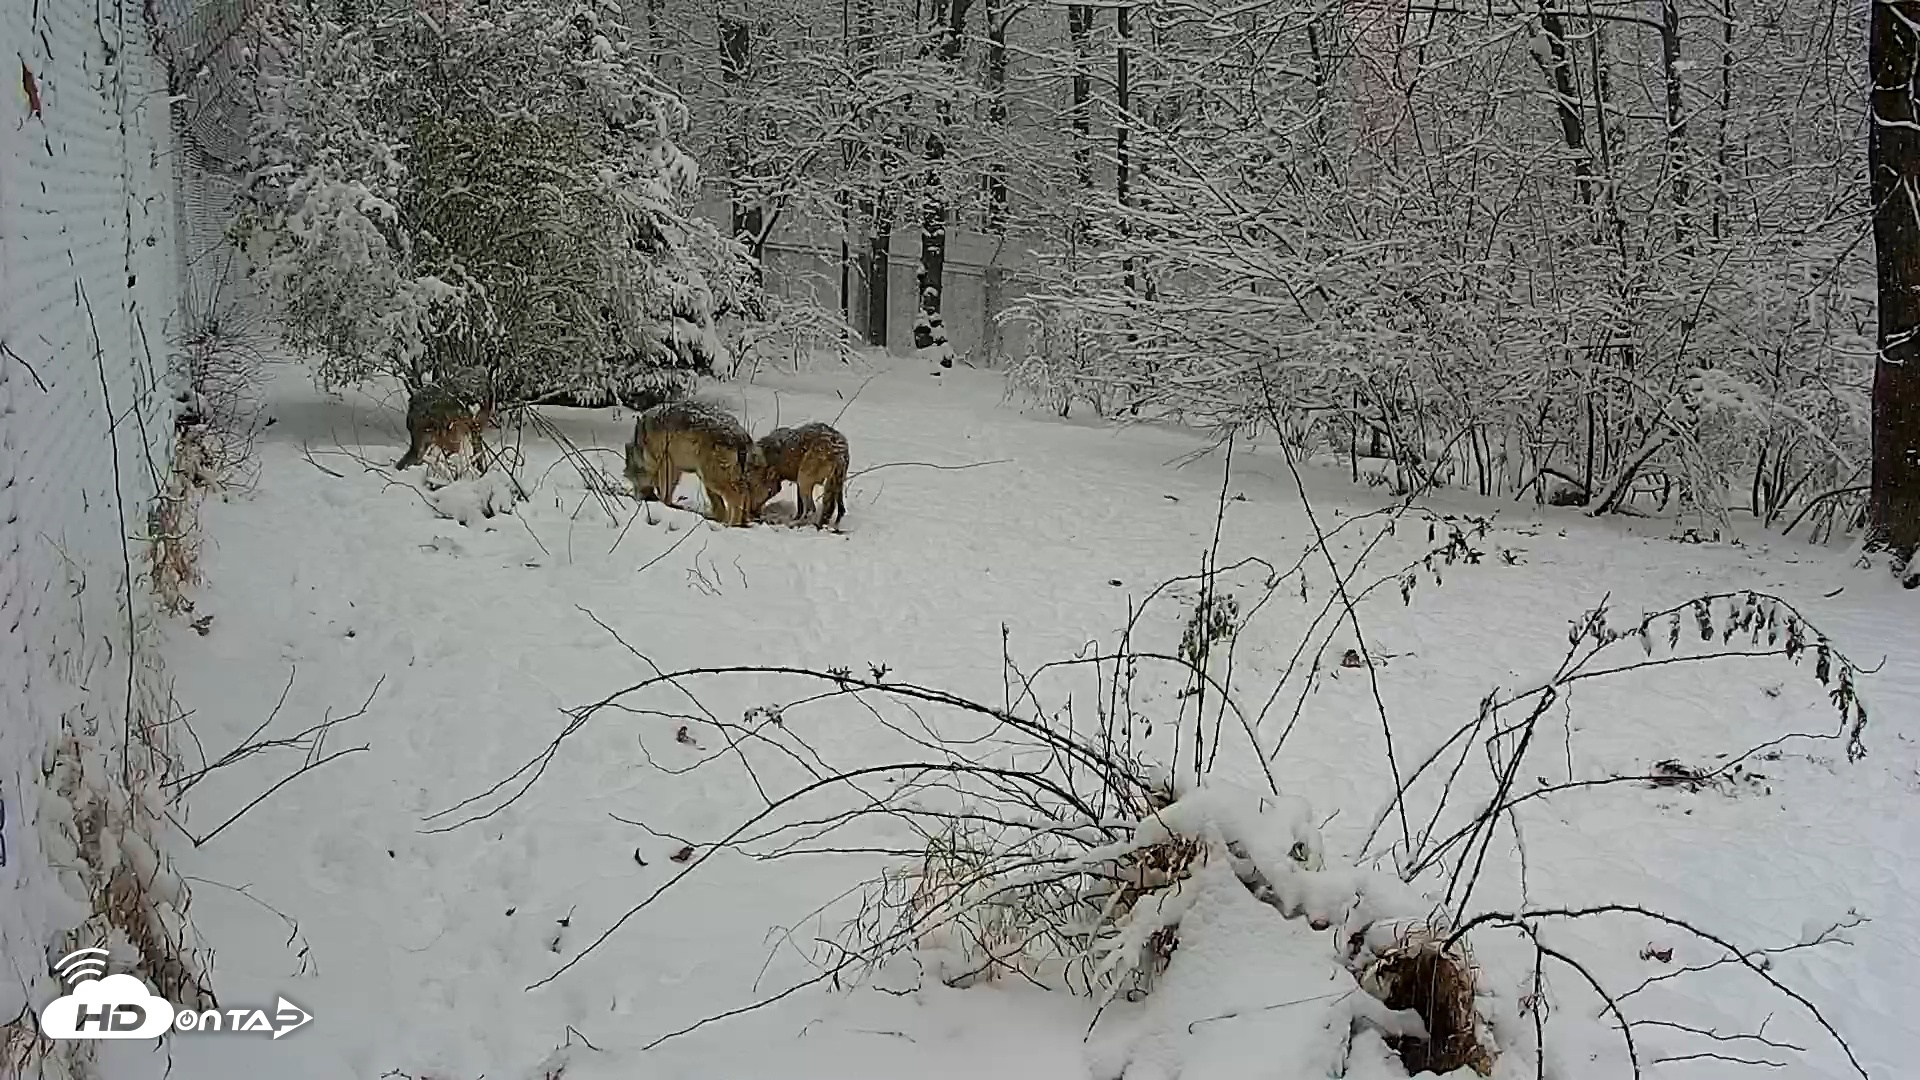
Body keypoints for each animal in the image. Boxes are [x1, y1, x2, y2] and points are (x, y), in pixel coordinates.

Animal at [624, 400, 755, 526]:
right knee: (744, 494)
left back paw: (731, 524)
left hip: (711, 478)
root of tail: (740, 434)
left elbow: (664, 492)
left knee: (737, 496)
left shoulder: (665, 463)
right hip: (714, 478)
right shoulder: (676, 468)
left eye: (632, 479)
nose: (638, 499)